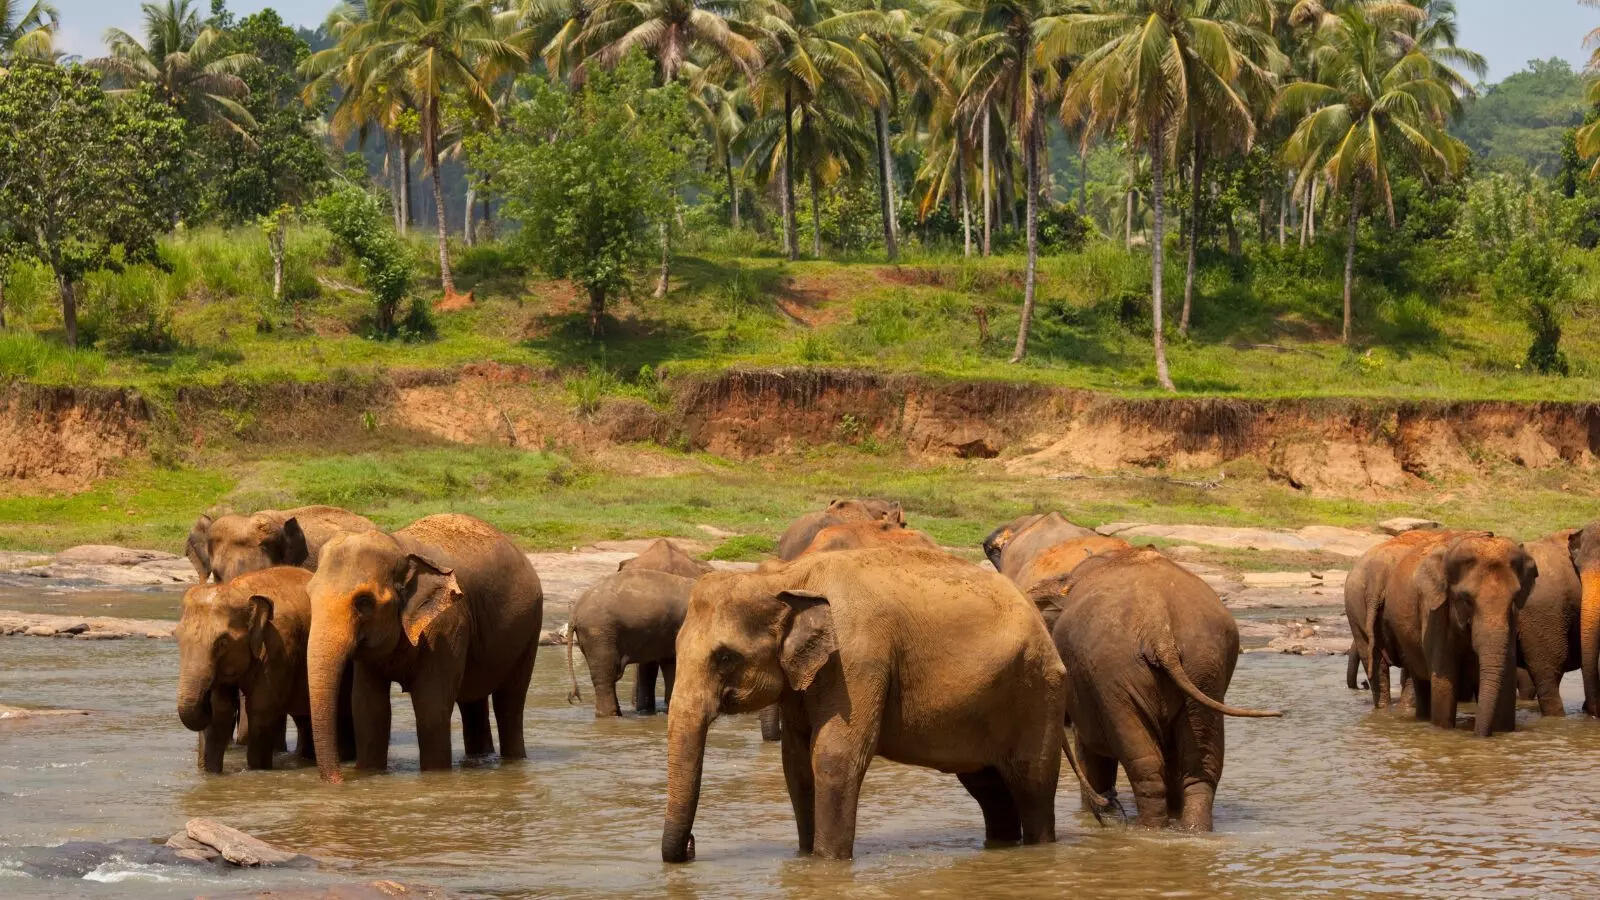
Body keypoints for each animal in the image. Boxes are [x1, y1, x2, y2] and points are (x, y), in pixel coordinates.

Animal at [176, 566, 353, 773]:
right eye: (177, 636)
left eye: (222, 642)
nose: (205, 697)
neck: (241, 591)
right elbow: (220, 712)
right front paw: (211, 774)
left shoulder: (279, 645)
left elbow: (261, 710)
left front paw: (258, 771)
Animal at [305, 514, 544, 781]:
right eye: (309, 595)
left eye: (364, 602)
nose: (339, 780)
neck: (398, 545)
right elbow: (369, 710)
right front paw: (371, 773)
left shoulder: (447, 626)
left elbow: (431, 708)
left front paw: (435, 778)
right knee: (473, 702)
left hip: (530, 629)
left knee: (510, 702)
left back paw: (514, 762)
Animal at [661, 546, 1067, 863]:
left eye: (725, 657)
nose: (692, 847)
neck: (787, 575)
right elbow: (796, 763)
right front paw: (804, 858)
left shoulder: (857, 660)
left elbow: (834, 755)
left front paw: (827, 864)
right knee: (988, 788)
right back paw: (1000, 847)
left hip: (1037, 690)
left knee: (1032, 784)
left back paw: (1038, 849)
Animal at [1037, 546, 1280, 831]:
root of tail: (1159, 628)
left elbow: (1089, 748)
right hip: (1204, 666)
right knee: (1201, 763)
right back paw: (1192, 830)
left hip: (1113, 672)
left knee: (1145, 762)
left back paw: (1148, 828)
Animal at [1365, 531, 1536, 737]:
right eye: (1466, 599)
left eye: (1514, 598)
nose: (1478, 736)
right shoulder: (1434, 610)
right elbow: (1444, 680)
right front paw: (1444, 733)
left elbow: (1507, 678)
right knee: (1421, 682)